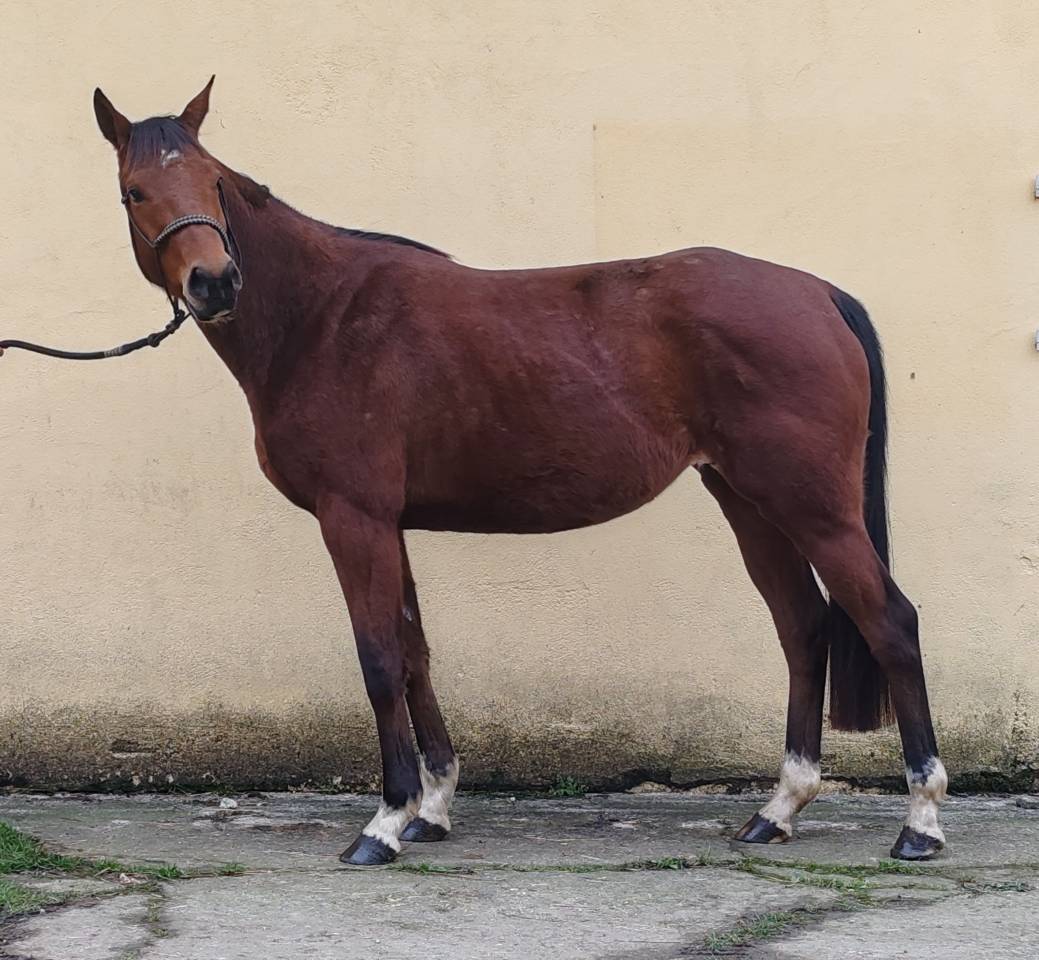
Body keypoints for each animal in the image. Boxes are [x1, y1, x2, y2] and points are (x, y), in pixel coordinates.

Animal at [90, 78, 947, 866]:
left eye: (214, 183)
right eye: (136, 190)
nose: (214, 282)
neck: (322, 317)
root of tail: (817, 294)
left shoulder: (352, 516)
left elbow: (378, 660)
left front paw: (384, 823)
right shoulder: (387, 524)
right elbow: (414, 654)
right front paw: (431, 809)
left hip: (811, 506)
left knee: (889, 622)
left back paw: (920, 821)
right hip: (746, 498)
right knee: (801, 627)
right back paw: (777, 810)